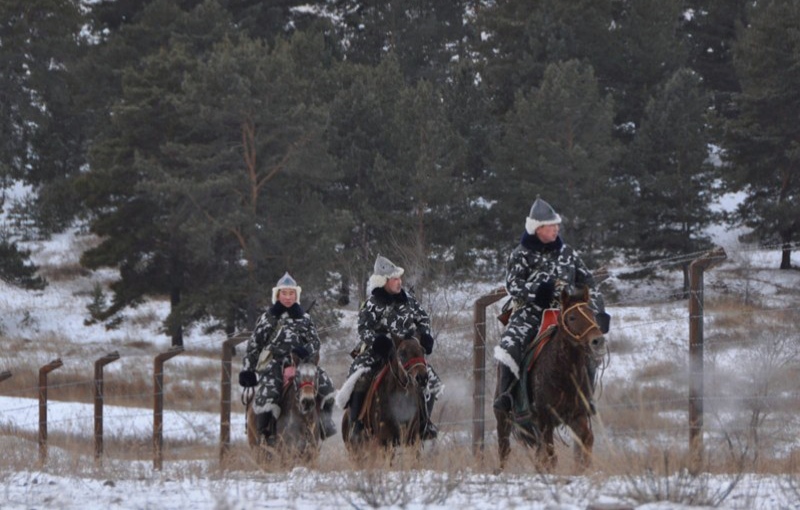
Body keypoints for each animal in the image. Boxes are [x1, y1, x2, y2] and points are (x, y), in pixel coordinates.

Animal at [494, 286, 608, 470]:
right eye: (572, 317)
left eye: (591, 313)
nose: (598, 341)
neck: (563, 375)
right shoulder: (544, 419)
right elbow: (550, 455)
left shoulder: (577, 415)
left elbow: (586, 440)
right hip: (503, 418)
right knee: (504, 448)